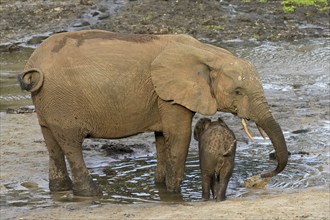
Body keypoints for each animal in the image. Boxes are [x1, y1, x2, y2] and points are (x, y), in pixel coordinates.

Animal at [18, 30, 288, 197]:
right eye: (238, 91)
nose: (261, 176)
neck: (206, 52)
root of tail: (33, 65)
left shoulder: (162, 98)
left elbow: (161, 139)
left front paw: (160, 188)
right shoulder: (169, 95)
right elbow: (179, 137)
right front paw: (174, 194)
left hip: (47, 100)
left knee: (52, 143)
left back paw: (59, 190)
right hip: (62, 101)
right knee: (71, 144)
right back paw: (92, 193)